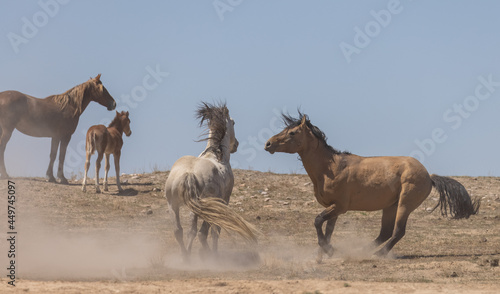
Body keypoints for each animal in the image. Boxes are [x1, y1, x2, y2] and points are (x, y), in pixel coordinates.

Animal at [164, 102, 258, 260]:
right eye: (233, 122)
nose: (236, 144)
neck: (216, 156)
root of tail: (189, 173)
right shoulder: (224, 201)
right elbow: (214, 231)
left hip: (174, 205)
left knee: (179, 231)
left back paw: (185, 257)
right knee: (198, 232)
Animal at [266, 112, 480, 262]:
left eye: (292, 132)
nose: (268, 144)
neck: (331, 168)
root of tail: (430, 176)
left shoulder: (340, 207)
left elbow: (318, 221)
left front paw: (330, 250)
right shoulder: (334, 209)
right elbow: (327, 231)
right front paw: (322, 254)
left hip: (404, 204)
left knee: (398, 232)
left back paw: (378, 254)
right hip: (390, 206)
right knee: (385, 232)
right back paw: (363, 250)